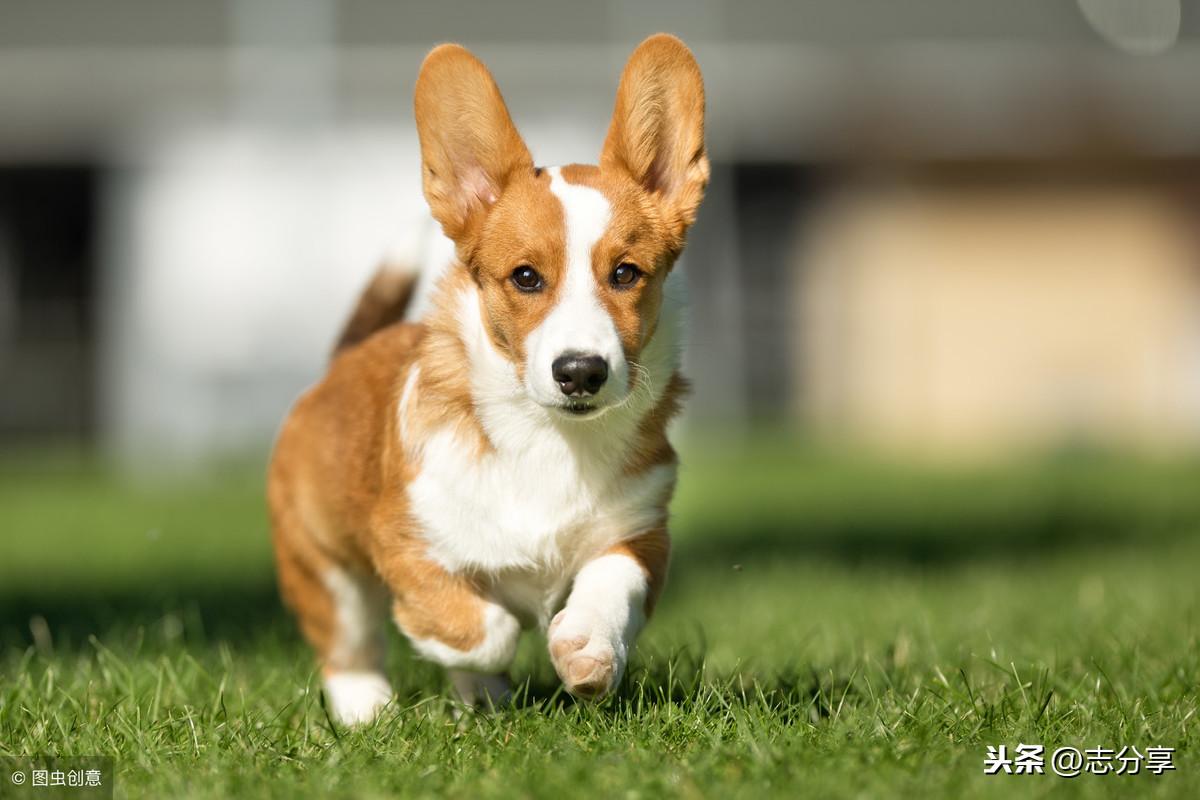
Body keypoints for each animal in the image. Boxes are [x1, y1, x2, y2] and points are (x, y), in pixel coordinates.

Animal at [267, 32, 705, 724]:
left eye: (626, 273)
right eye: (525, 277)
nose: (581, 372)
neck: (548, 440)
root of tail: (345, 358)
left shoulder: (639, 534)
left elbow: (612, 585)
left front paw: (586, 647)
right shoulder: (409, 541)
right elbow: (483, 629)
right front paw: (468, 641)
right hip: (322, 563)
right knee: (347, 642)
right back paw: (369, 710)